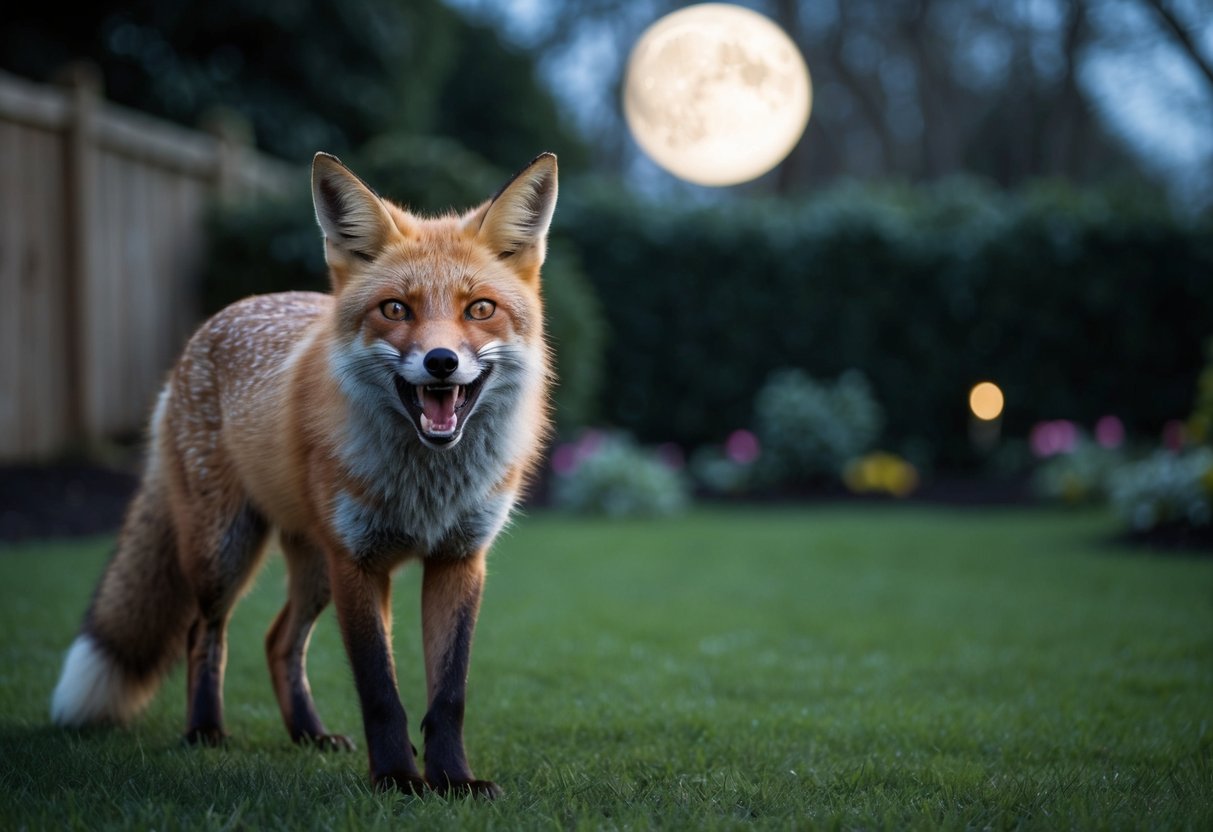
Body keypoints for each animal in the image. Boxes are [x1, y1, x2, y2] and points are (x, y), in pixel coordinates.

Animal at [49, 151, 559, 799]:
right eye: (396, 309)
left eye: (480, 309)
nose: (441, 362)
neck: (426, 485)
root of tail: (215, 322)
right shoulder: (358, 561)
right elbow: (380, 691)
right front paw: (397, 779)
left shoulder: (458, 559)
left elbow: (448, 695)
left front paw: (452, 781)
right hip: (227, 551)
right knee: (202, 633)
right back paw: (205, 731)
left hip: (313, 567)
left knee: (278, 641)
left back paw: (309, 735)